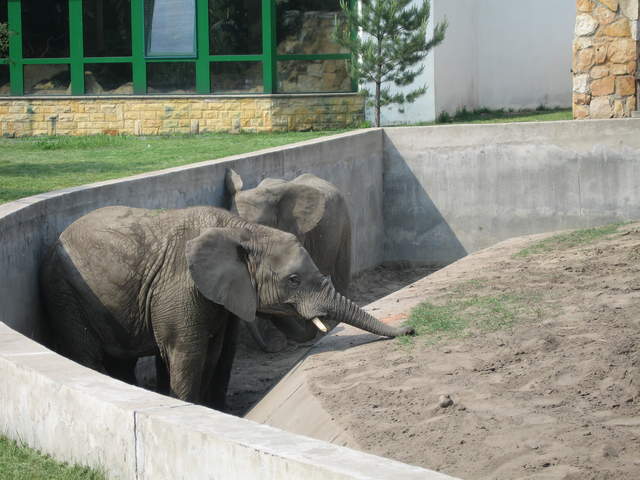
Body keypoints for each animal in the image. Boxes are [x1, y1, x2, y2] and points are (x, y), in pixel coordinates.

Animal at [40, 205, 413, 409]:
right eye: (293, 280)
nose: (410, 328)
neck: (244, 230)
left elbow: (215, 350)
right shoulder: (180, 283)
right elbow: (186, 350)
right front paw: (188, 406)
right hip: (64, 290)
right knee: (87, 352)